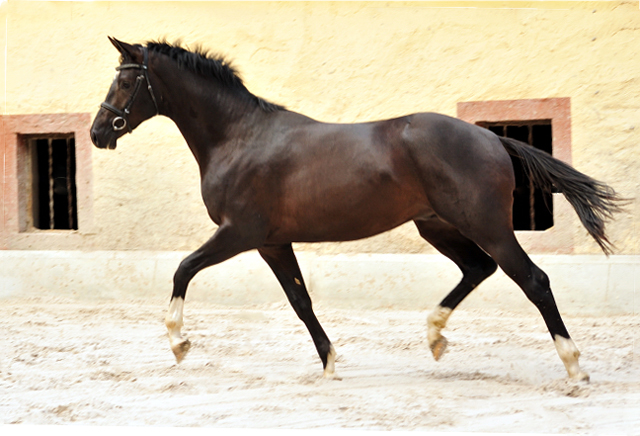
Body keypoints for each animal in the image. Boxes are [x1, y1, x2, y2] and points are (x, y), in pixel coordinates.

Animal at [87, 38, 624, 382]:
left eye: (125, 83)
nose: (97, 132)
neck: (238, 137)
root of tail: (492, 138)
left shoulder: (240, 233)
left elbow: (183, 269)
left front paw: (179, 344)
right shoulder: (272, 242)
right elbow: (300, 300)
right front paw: (329, 363)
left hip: (487, 225)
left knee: (533, 280)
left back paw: (574, 368)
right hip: (437, 226)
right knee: (478, 268)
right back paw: (435, 337)